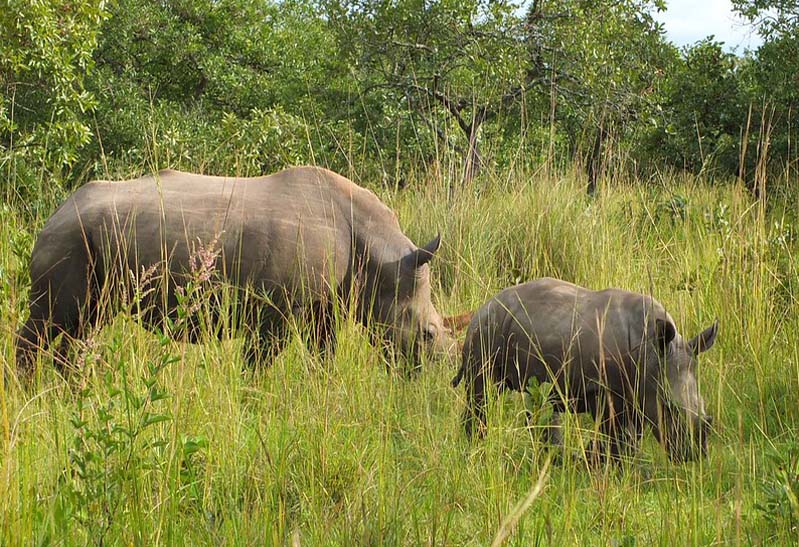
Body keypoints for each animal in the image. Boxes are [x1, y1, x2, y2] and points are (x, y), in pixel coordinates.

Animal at [15, 166, 459, 377]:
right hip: (70, 238)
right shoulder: (276, 309)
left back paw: (71, 392)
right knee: (51, 320)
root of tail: (53, 212)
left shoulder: (323, 304)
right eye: (427, 334)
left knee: (84, 324)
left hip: (88, 241)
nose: (433, 374)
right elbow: (259, 360)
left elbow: (323, 352)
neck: (380, 253)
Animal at [452, 278, 718, 462]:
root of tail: (485, 304)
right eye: (670, 407)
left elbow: (629, 438)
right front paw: (604, 467)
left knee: (537, 401)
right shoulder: (607, 391)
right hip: (486, 330)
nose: (695, 455)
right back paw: (476, 444)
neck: (651, 353)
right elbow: (617, 436)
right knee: (482, 392)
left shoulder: (638, 391)